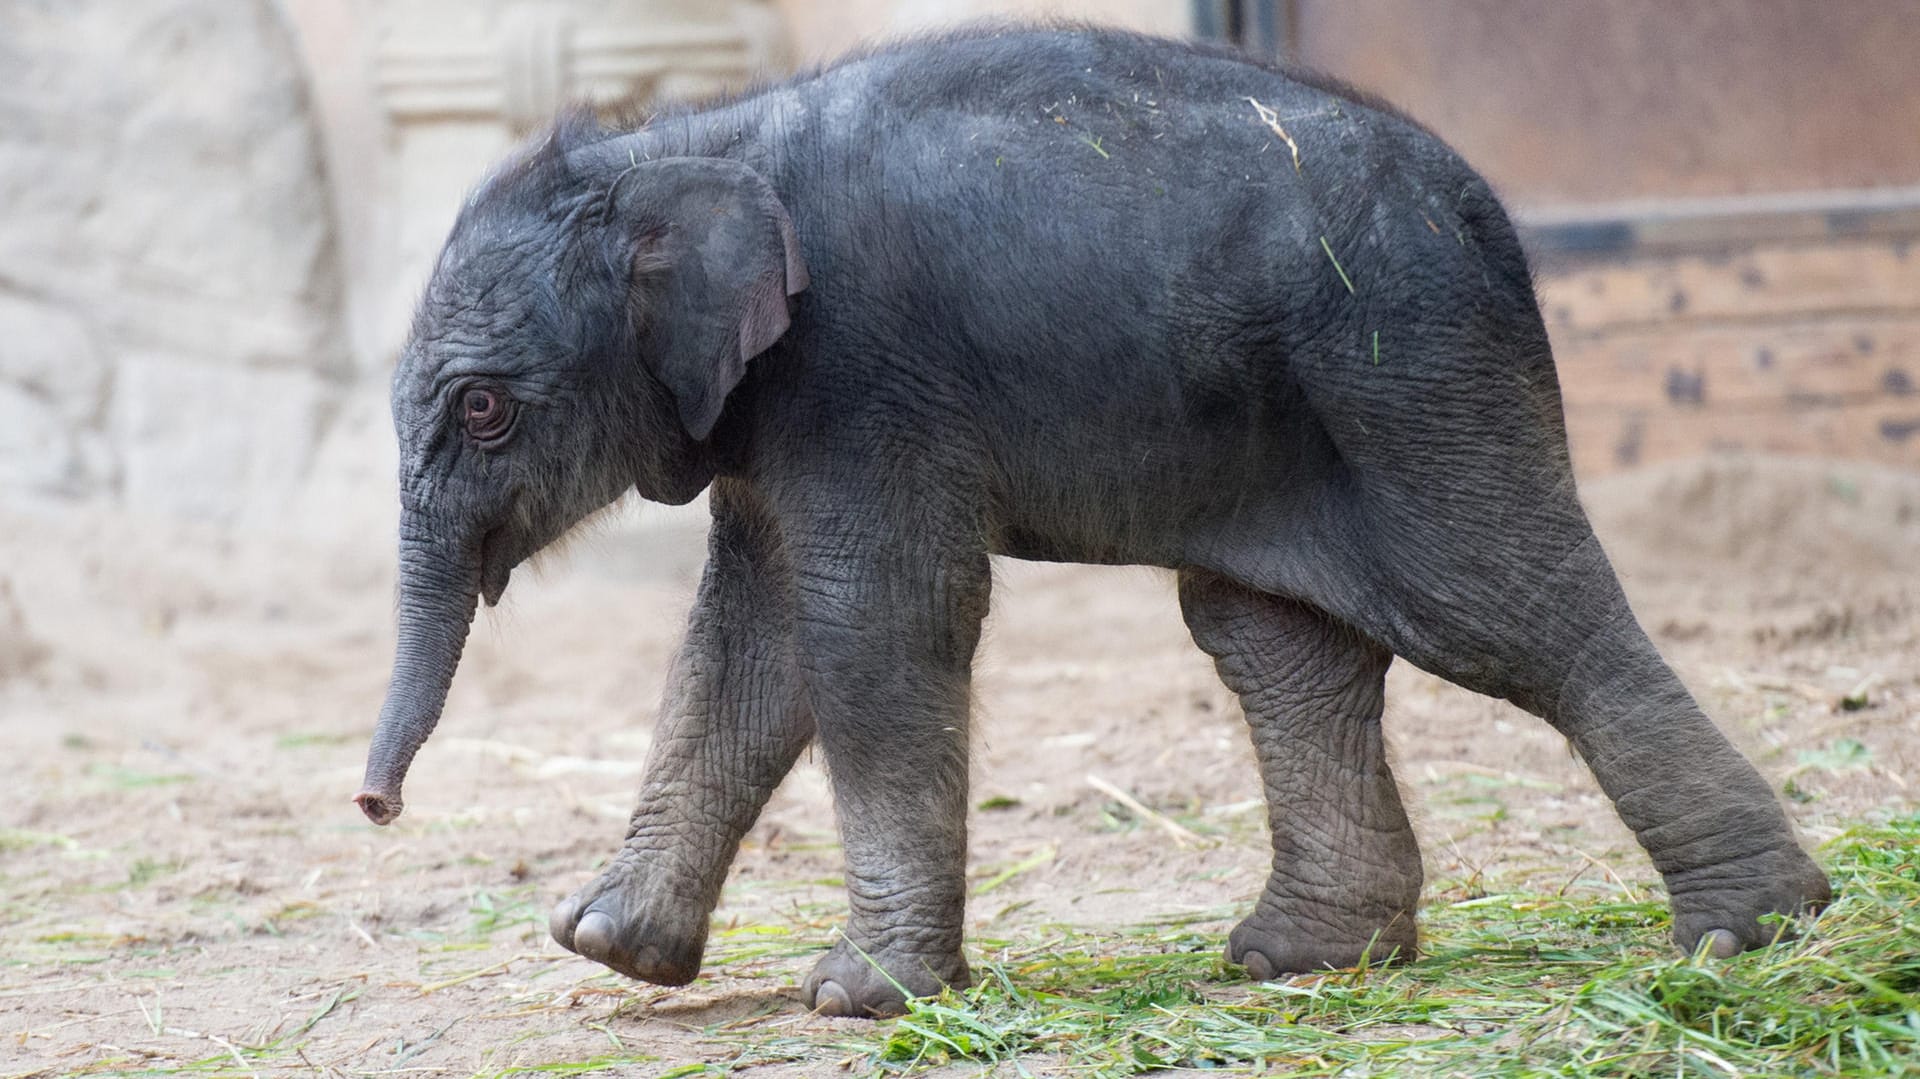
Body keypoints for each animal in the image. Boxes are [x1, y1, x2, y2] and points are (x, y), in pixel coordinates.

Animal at [357, 27, 1827, 1013]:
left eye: (483, 410)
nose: (373, 803)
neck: (687, 137)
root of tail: (1491, 211)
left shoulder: (861, 372)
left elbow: (871, 623)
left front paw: (861, 993)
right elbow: (751, 643)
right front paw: (608, 945)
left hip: (1411, 366)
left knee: (1506, 609)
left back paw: (1753, 930)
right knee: (1274, 638)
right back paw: (1301, 956)